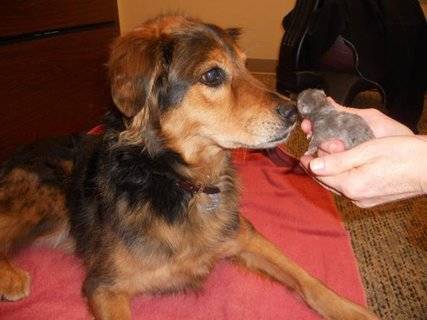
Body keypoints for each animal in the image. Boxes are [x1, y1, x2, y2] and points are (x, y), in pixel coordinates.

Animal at [0, 15, 378, 320]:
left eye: (245, 65)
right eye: (212, 75)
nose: (294, 112)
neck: (179, 180)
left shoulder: (244, 234)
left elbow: (307, 279)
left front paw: (351, 310)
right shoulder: (103, 287)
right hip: (46, 196)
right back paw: (11, 278)